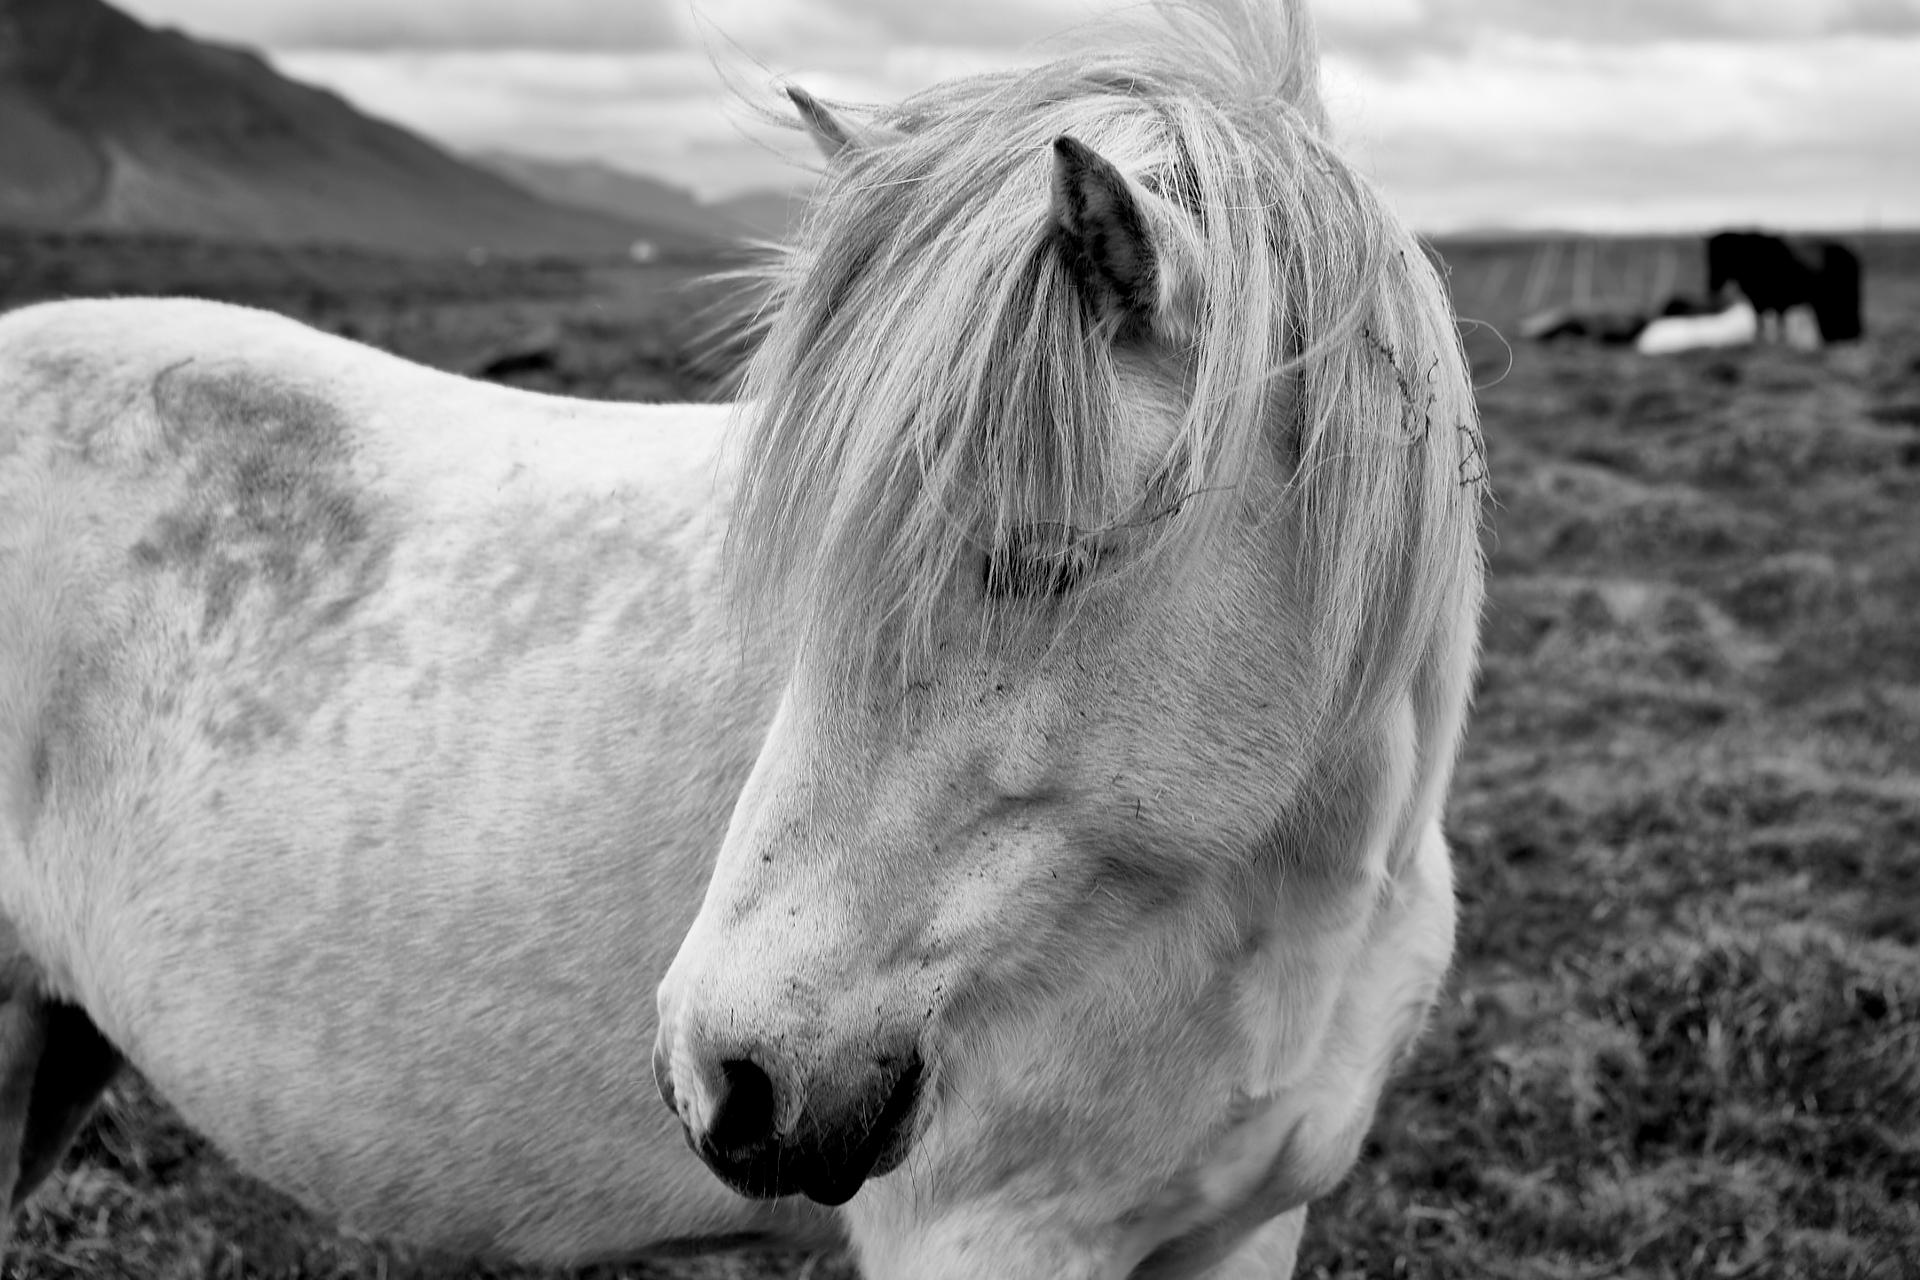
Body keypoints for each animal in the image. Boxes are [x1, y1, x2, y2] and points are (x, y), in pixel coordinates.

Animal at [1712, 227, 1858, 343]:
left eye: (1721, 258)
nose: (1714, 285)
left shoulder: (1774, 303)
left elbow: (1775, 324)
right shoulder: (1762, 303)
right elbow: (1764, 323)